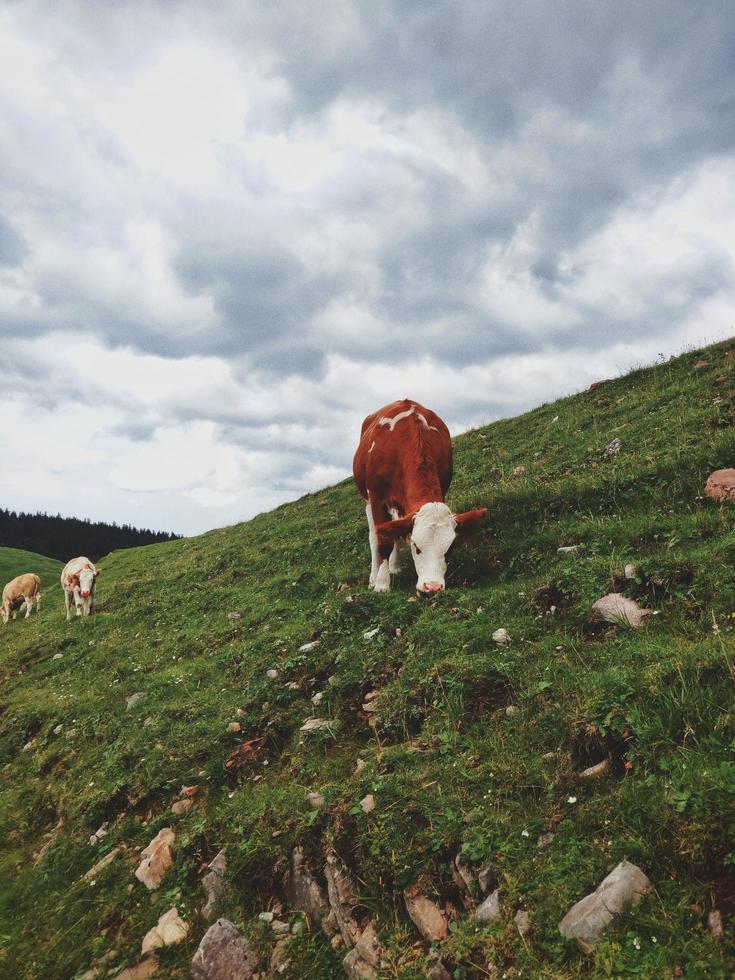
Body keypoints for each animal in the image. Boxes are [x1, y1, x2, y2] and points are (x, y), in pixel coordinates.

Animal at [352, 396, 488, 592]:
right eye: (416, 546)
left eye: (450, 547)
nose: (432, 587)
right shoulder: (377, 498)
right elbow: (382, 539)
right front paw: (382, 584)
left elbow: (395, 533)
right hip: (367, 499)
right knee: (374, 536)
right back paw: (373, 576)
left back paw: (394, 567)